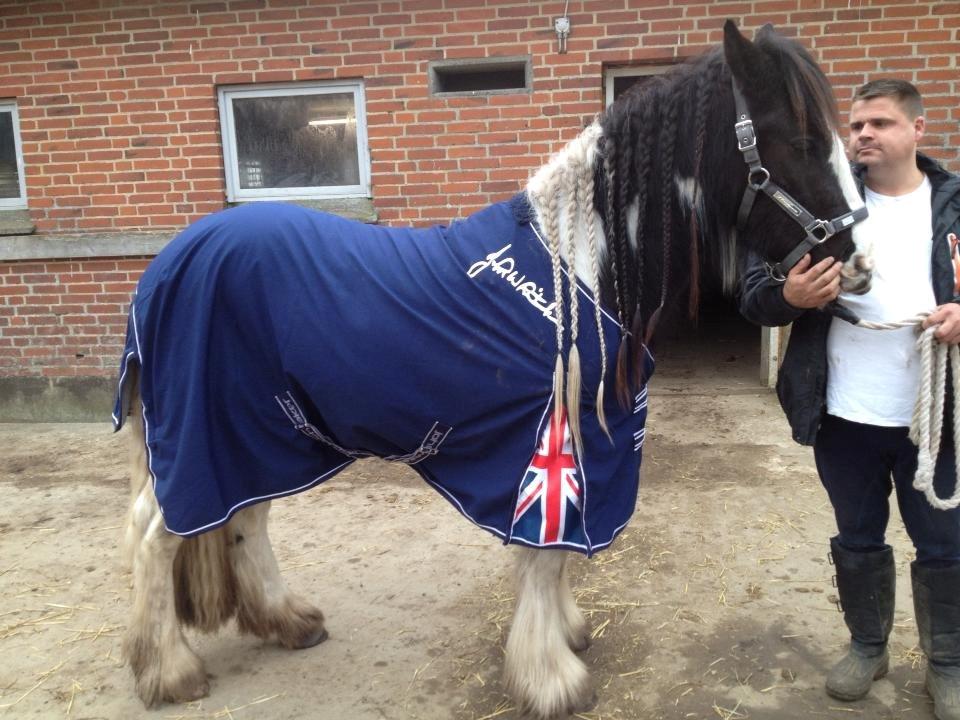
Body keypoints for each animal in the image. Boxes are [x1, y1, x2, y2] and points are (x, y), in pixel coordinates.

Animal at [116, 22, 872, 720]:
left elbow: (557, 550)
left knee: (244, 519)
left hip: (261, 435)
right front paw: (552, 678)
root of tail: (167, 266)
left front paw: (567, 636)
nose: (859, 267)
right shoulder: (547, 443)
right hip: (206, 435)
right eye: (800, 141)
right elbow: (545, 553)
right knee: (155, 535)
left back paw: (286, 623)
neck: (577, 268)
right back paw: (170, 672)